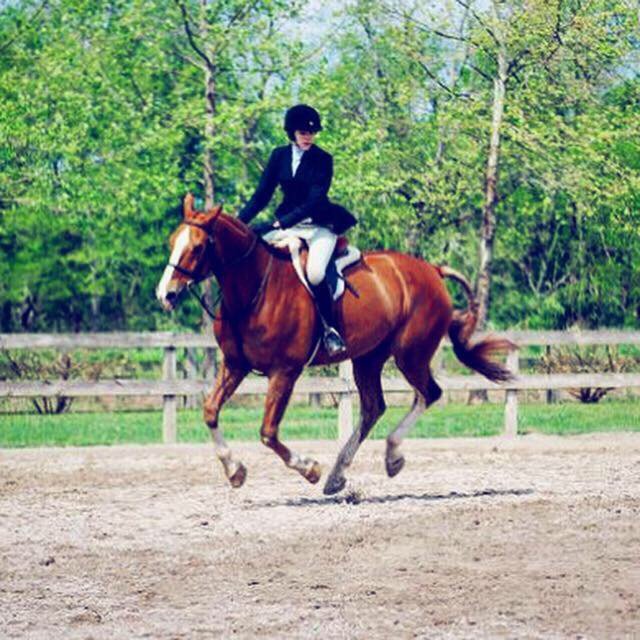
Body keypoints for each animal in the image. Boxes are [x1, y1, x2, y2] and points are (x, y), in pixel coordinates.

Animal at [158, 195, 512, 496]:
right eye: (173, 241)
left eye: (198, 247)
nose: (166, 295)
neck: (254, 288)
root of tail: (433, 270)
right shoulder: (235, 364)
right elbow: (210, 410)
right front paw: (235, 471)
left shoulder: (285, 371)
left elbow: (268, 431)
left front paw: (309, 469)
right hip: (368, 358)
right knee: (374, 407)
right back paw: (339, 476)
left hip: (410, 354)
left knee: (428, 394)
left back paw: (391, 456)